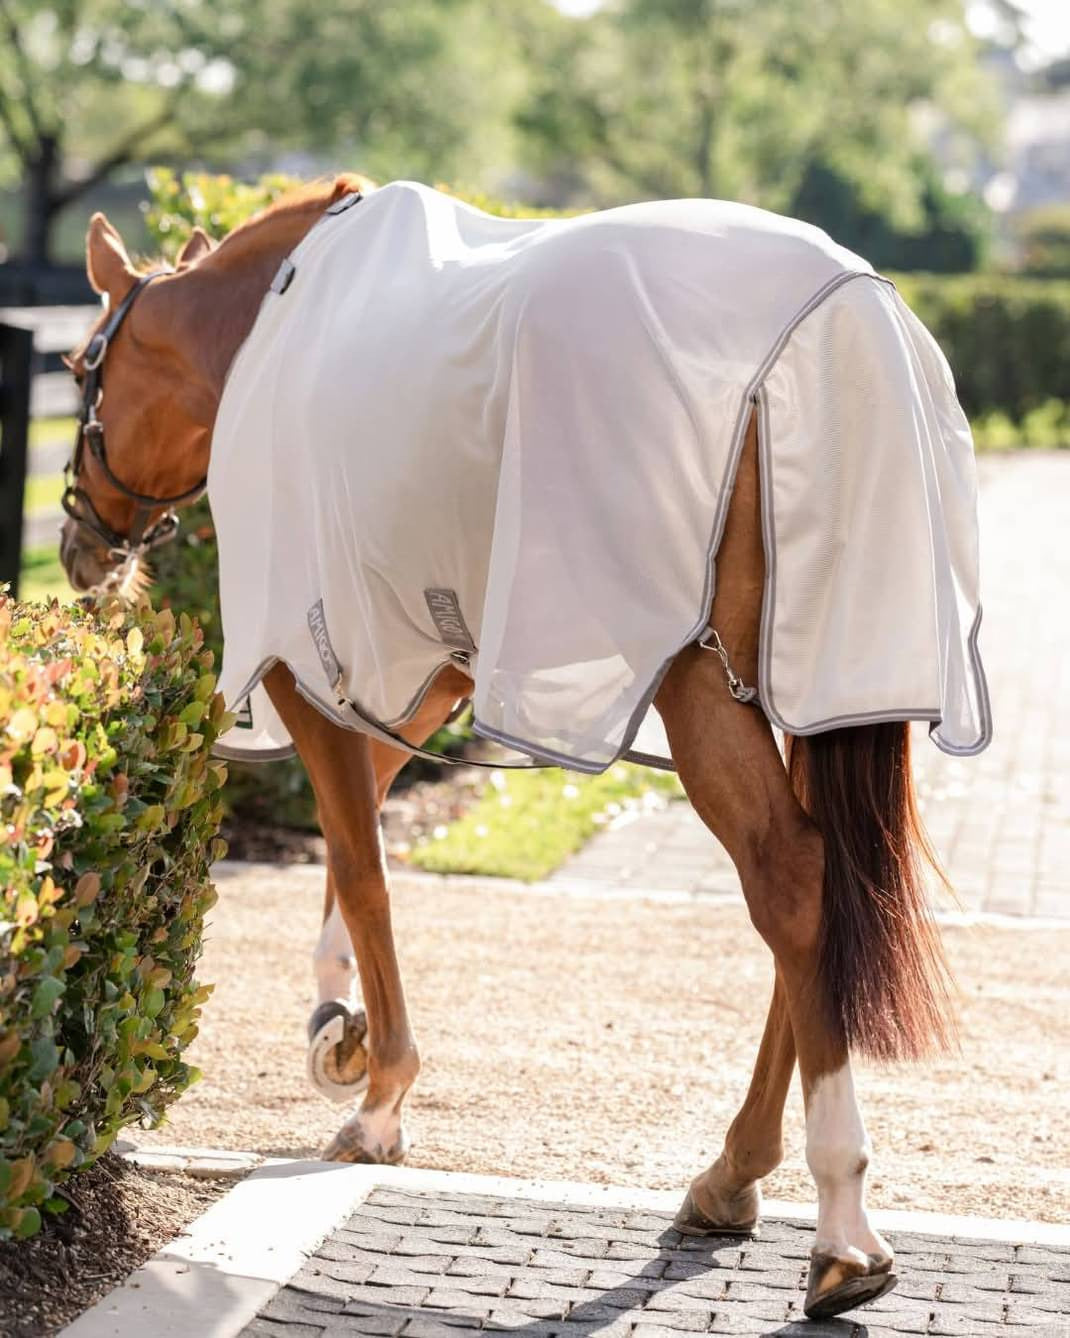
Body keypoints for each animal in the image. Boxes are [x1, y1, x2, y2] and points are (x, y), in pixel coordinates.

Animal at [59, 175, 987, 1323]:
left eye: (80, 367)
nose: (77, 543)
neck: (275, 321)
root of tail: (841, 323)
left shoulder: (307, 666)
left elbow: (362, 864)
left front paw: (377, 1090)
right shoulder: (424, 663)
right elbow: (360, 824)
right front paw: (340, 1023)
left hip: (696, 681)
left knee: (789, 878)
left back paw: (841, 1226)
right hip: (812, 685)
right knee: (816, 897)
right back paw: (733, 1174)